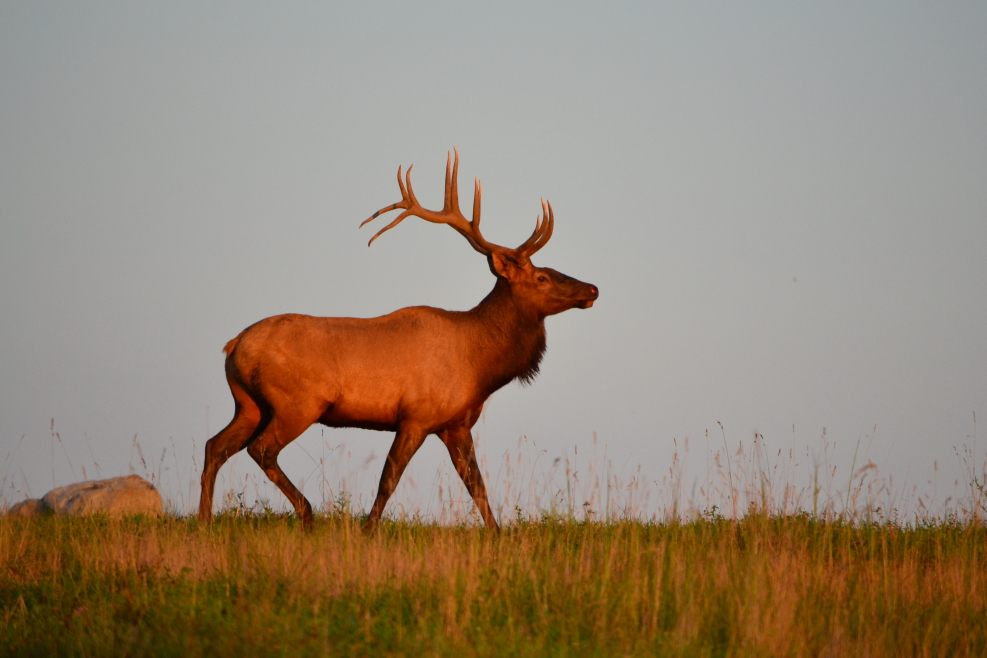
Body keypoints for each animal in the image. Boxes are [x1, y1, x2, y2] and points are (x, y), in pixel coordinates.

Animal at [197, 149, 599, 532]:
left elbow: (477, 486)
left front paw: (497, 534)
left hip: (248, 404)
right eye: (542, 277)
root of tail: (234, 346)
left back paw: (203, 520)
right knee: (261, 449)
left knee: (214, 446)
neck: (481, 366)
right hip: (296, 404)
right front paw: (367, 529)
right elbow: (388, 479)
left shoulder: (456, 425)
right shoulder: (415, 417)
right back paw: (307, 513)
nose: (592, 288)